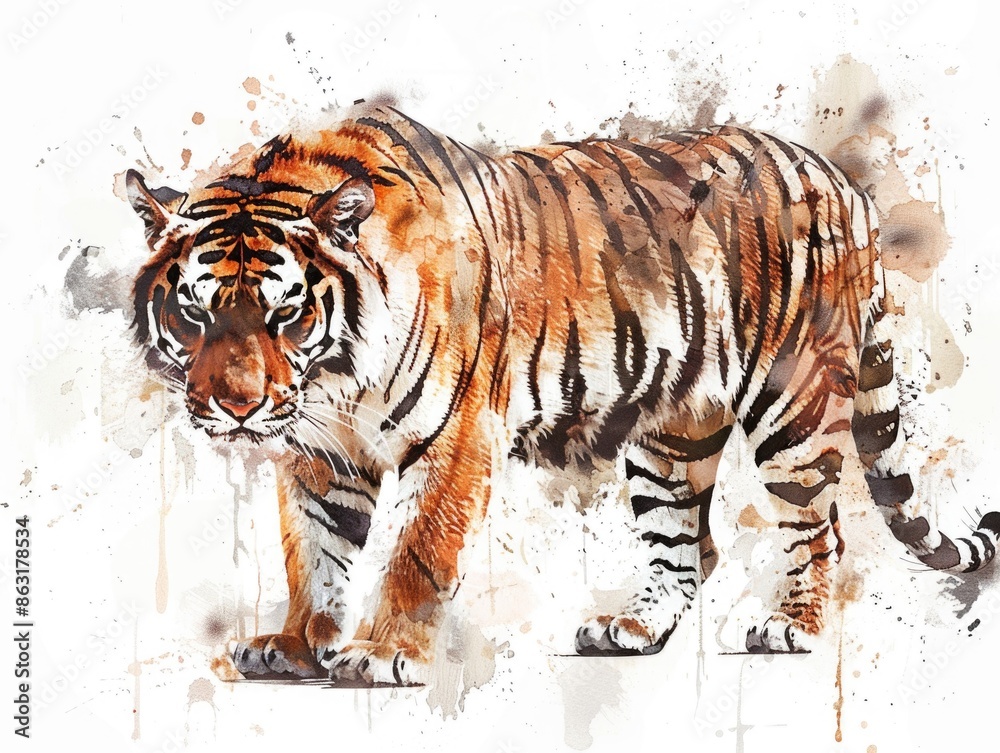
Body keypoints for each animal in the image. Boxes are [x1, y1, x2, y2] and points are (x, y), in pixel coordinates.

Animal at [126, 101, 1000, 685]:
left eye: (286, 313)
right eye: (195, 312)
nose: (237, 406)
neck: (335, 381)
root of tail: (841, 182)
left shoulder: (455, 433)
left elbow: (413, 550)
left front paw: (381, 653)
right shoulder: (320, 452)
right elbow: (313, 551)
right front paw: (299, 644)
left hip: (796, 405)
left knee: (818, 528)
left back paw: (790, 626)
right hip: (672, 430)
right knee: (690, 543)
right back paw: (632, 626)